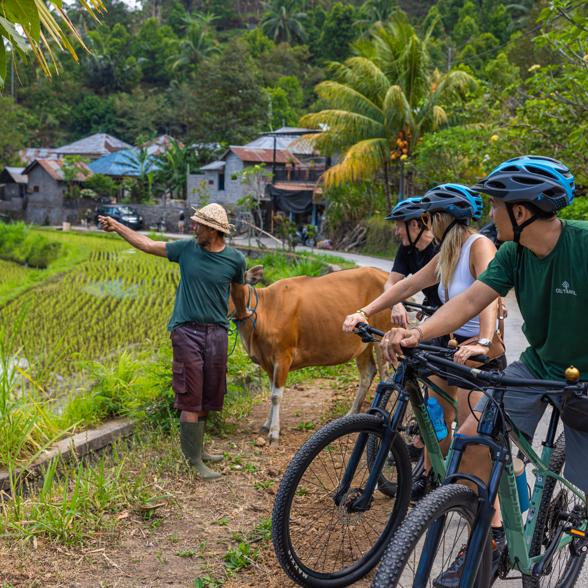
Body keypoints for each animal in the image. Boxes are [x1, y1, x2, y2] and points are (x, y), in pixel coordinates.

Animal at [229, 266, 390, 446]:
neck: (266, 311)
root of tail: (383, 273)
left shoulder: (284, 356)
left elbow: (276, 396)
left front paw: (274, 433)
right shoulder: (268, 361)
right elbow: (271, 392)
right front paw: (267, 425)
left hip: (383, 333)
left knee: (385, 373)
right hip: (363, 343)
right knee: (368, 373)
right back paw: (352, 413)